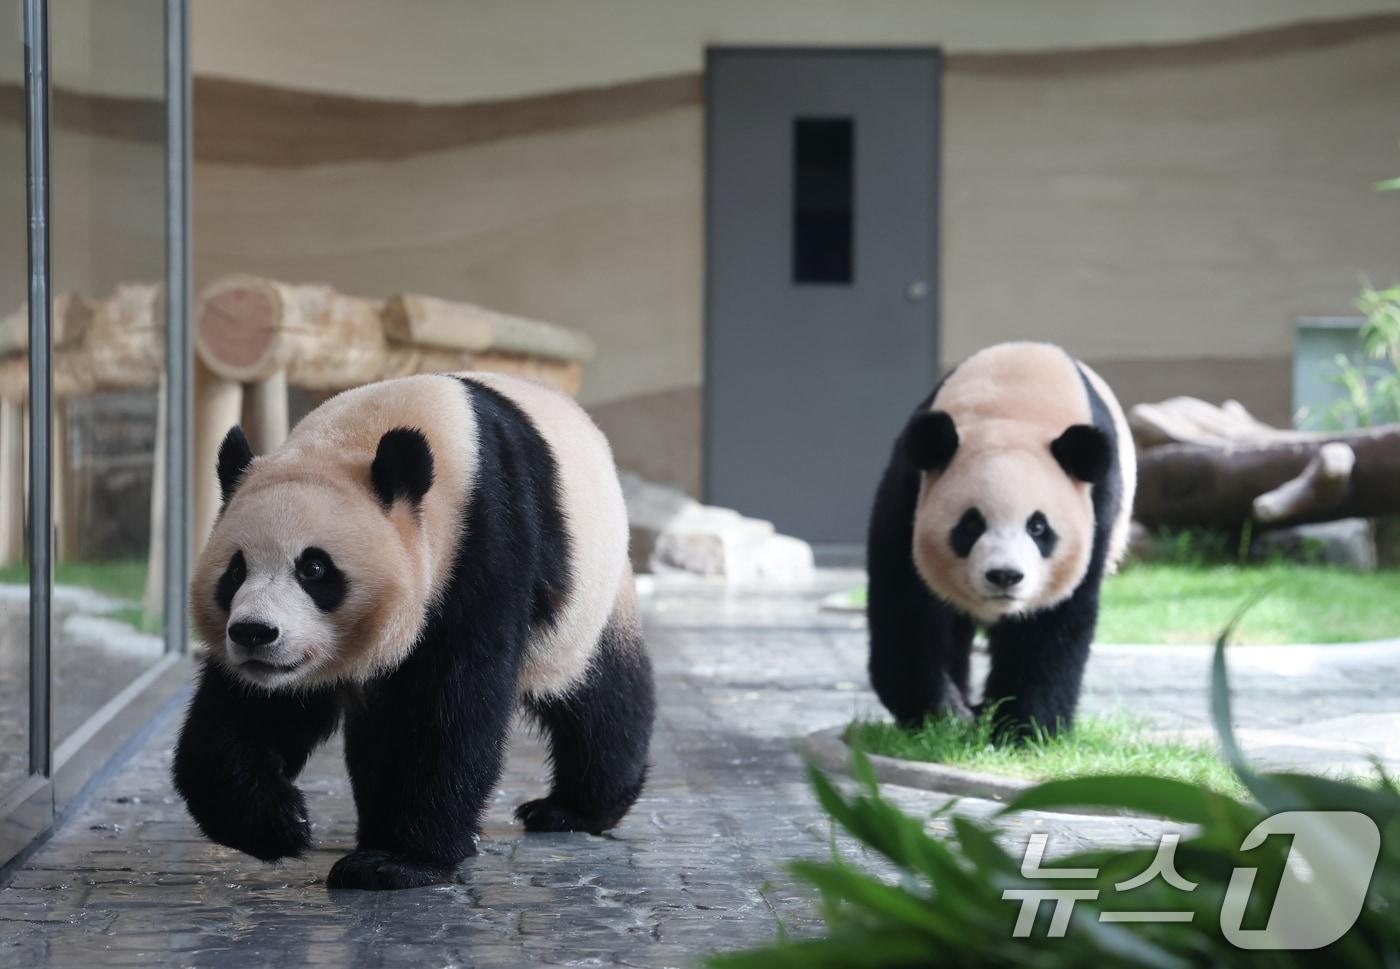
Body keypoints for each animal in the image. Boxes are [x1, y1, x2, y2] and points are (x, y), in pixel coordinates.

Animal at [172, 372, 655, 891]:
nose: (254, 633)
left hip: (592, 598)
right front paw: (278, 823)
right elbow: (249, 713)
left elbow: (452, 705)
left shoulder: (484, 542)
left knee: (601, 696)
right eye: (235, 571)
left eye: (314, 568)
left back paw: (572, 809)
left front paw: (399, 861)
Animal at [866, 342, 1135, 740]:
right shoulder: (909, 493)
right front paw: (939, 714)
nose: (1004, 576)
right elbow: (906, 606)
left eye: (1037, 527)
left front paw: (1023, 730)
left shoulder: (1096, 509)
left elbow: (1050, 627)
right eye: (970, 525)